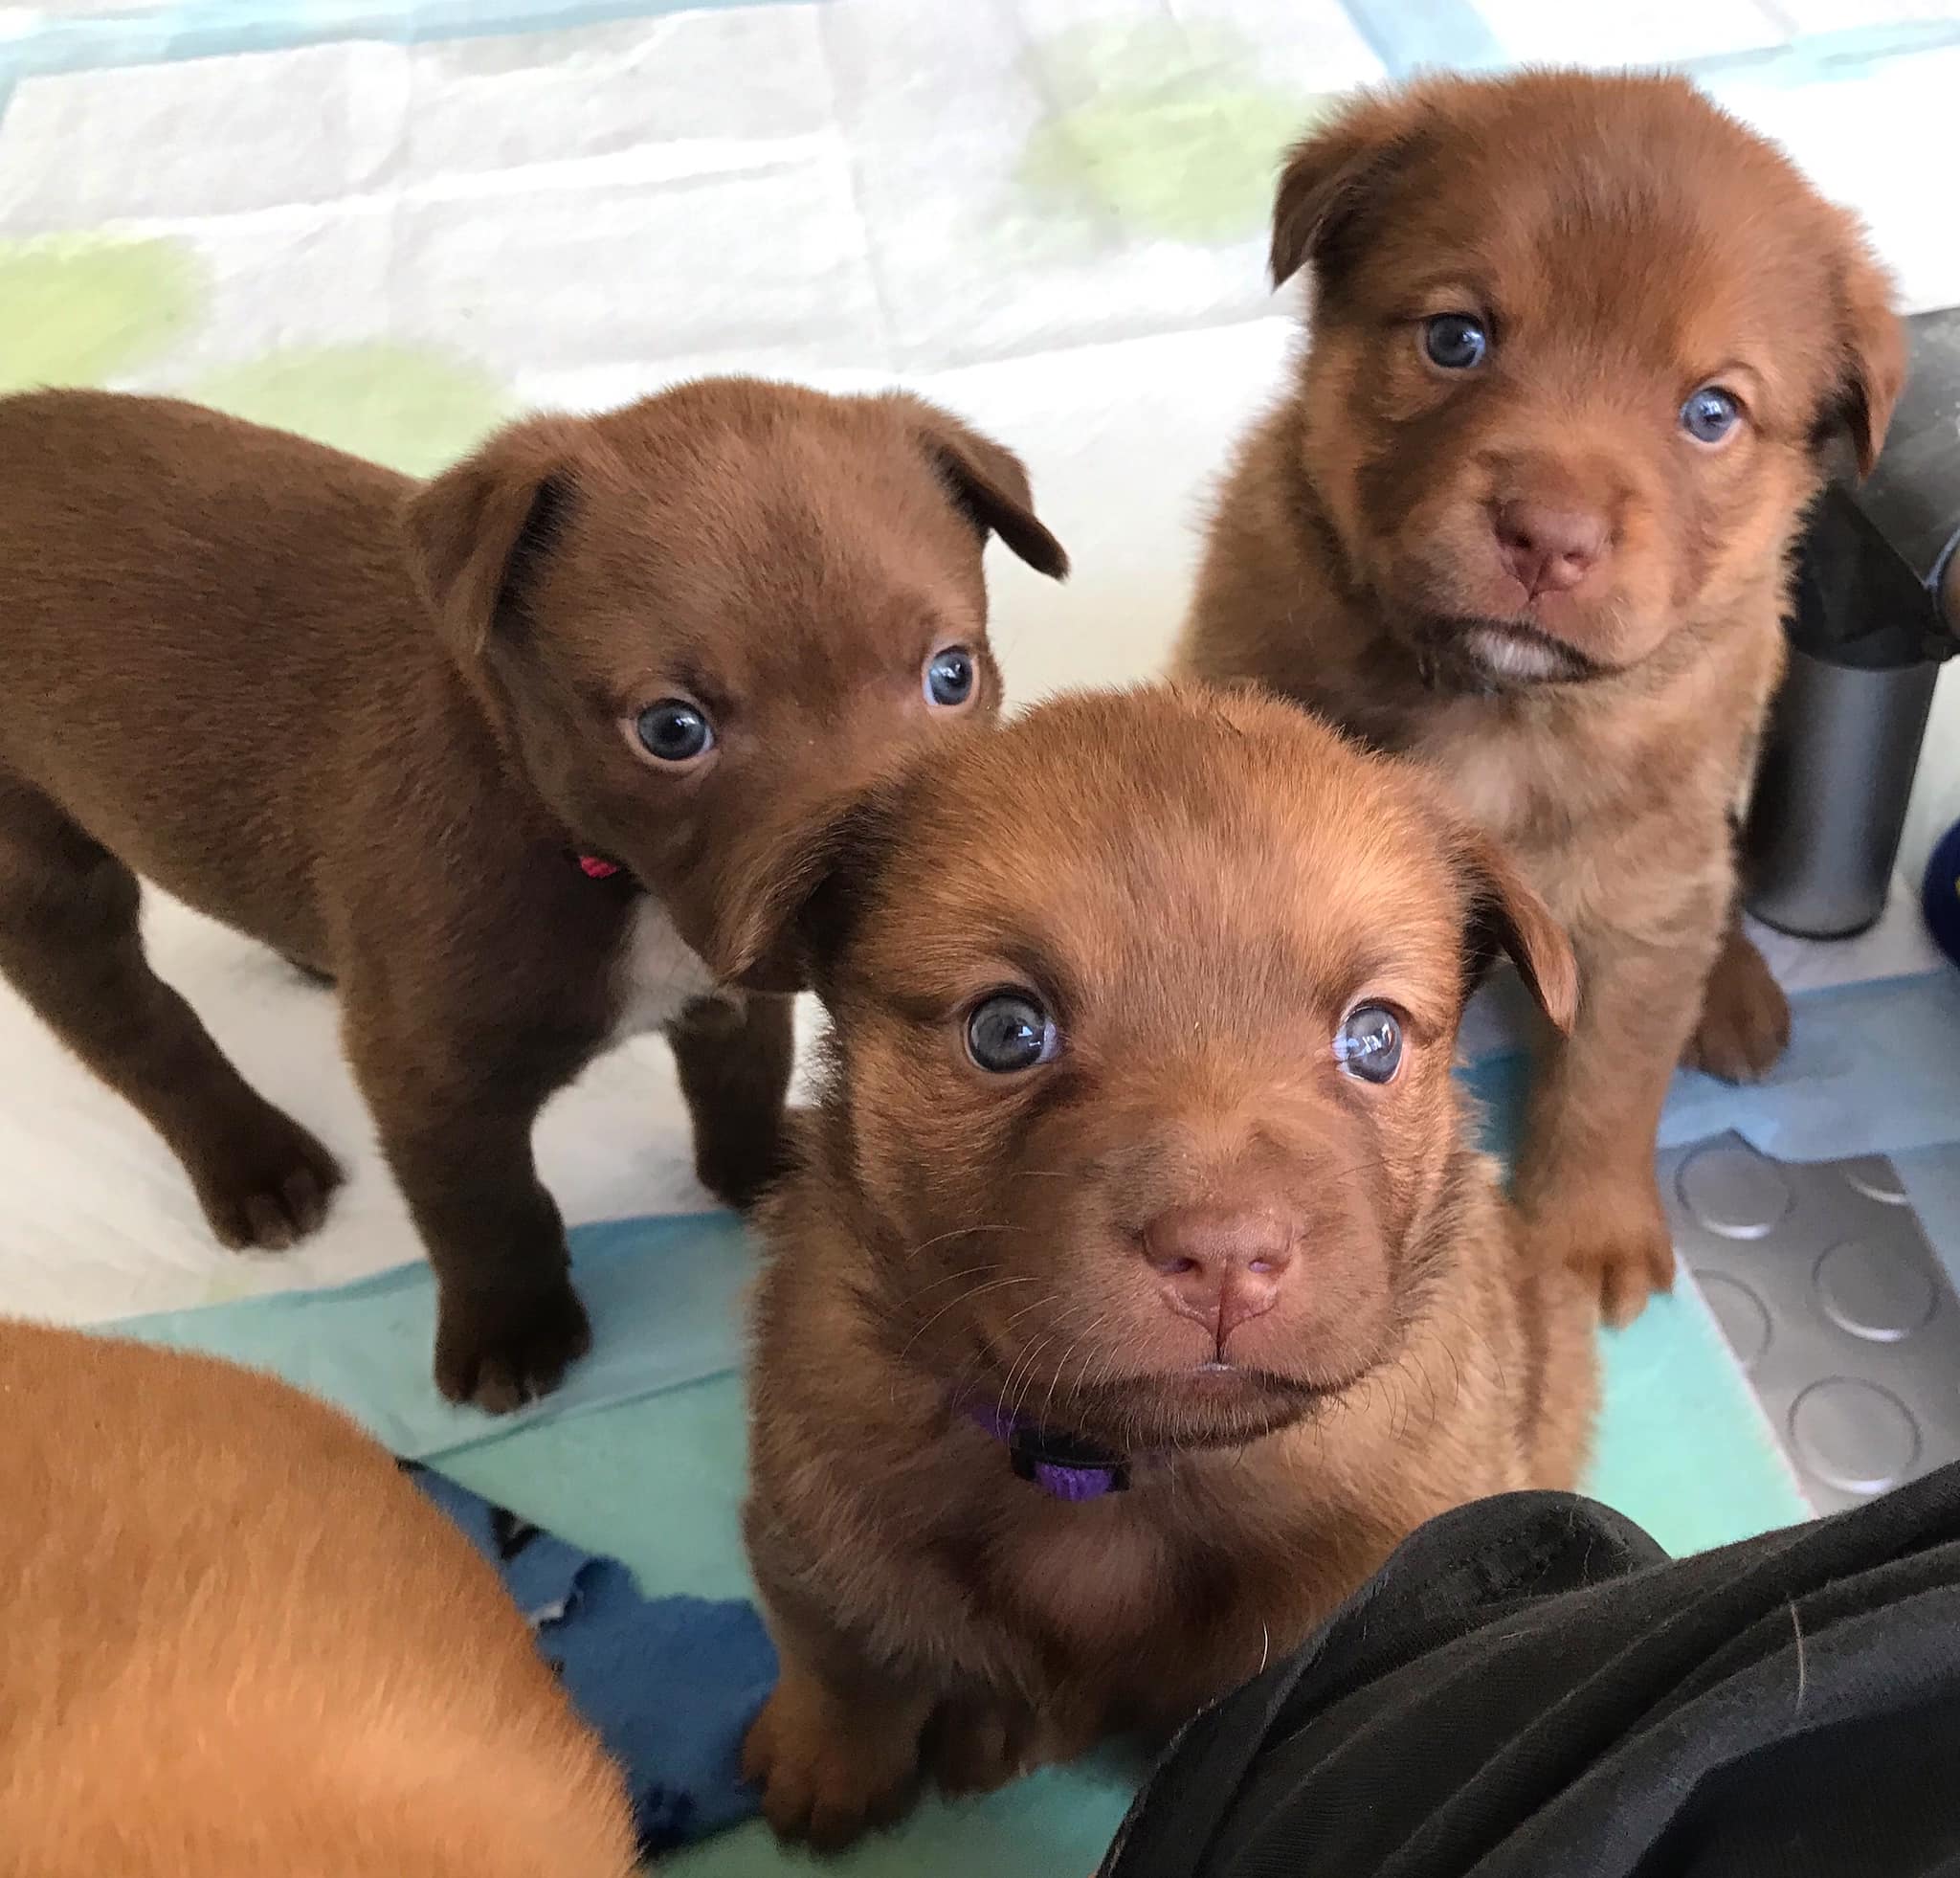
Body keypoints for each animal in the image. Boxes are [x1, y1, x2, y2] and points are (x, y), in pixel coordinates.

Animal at [0, 386, 1066, 1411]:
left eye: (953, 674)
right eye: (671, 730)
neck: (601, 868)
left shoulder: (731, 983)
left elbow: (741, 1076)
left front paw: (760, 1170)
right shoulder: (430, 1074)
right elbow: (486, 1207)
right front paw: (511, 1331)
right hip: (39, 877)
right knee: (132, 1023)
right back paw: (252, 1160)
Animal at [741, 682, 1599, 1843]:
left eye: (1373, 1039)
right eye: (1006, 1031)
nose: (1226, 1254)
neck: (1118, 1473)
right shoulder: (813, 1488)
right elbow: (839, 1649)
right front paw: (823, 1763)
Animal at [1168, 73, 1904, 1332]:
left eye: (1711, 412)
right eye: (1455, 339)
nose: (1547, 537)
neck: (1497, 713)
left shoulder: (1641, 898)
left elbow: (1611, 1081)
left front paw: (1581, 1240)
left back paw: (1734, 992)